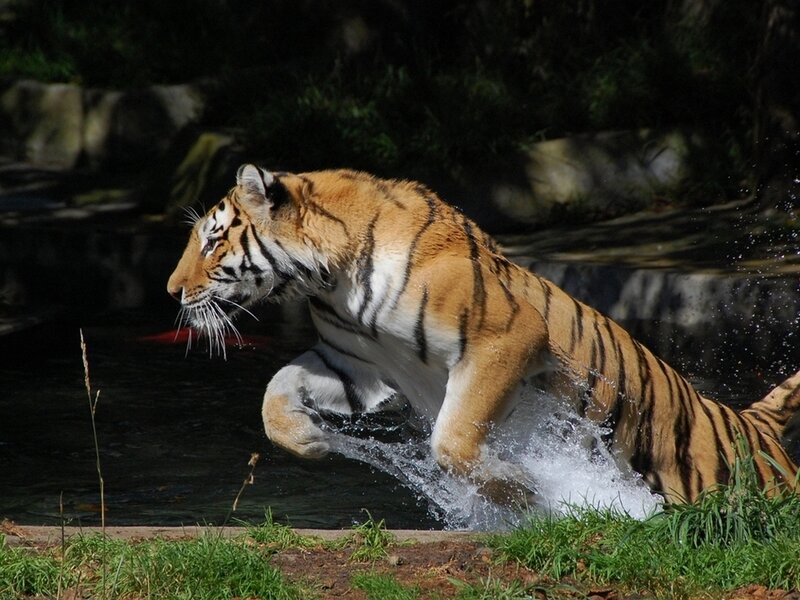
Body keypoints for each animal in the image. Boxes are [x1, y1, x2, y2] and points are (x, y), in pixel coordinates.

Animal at [167, 164, 800, 506]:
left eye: (213, 241)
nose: (172, 291)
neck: (330, 279)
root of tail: (754, 424)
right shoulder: (355, 362)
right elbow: (274, 392)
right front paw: (311, 441)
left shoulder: (505, 339)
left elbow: (452, 440)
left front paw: (525, 494)